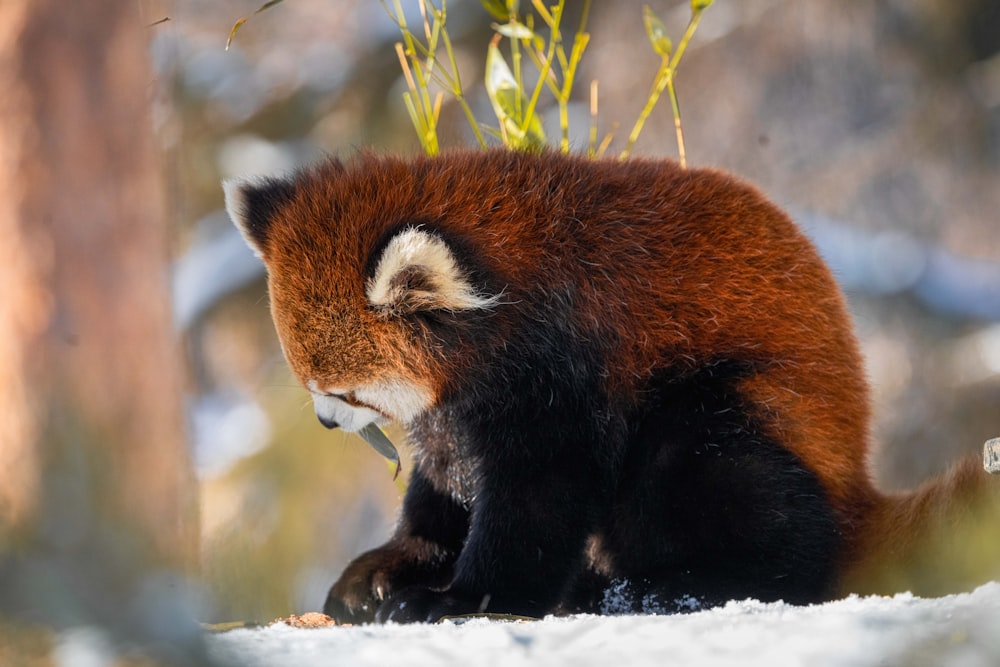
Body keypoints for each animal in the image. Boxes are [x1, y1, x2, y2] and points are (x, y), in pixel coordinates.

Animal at [223, 149, 996, 624]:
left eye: (346, 392)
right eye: (311, 383)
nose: (325, 425)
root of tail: (857, 482)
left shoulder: (568, 368)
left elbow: (540, 494)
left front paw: (461, 597)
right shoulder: (459, 404)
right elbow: (445, 477)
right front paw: (392, 565)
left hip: (734, 412)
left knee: (720, 479)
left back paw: (673, 586)